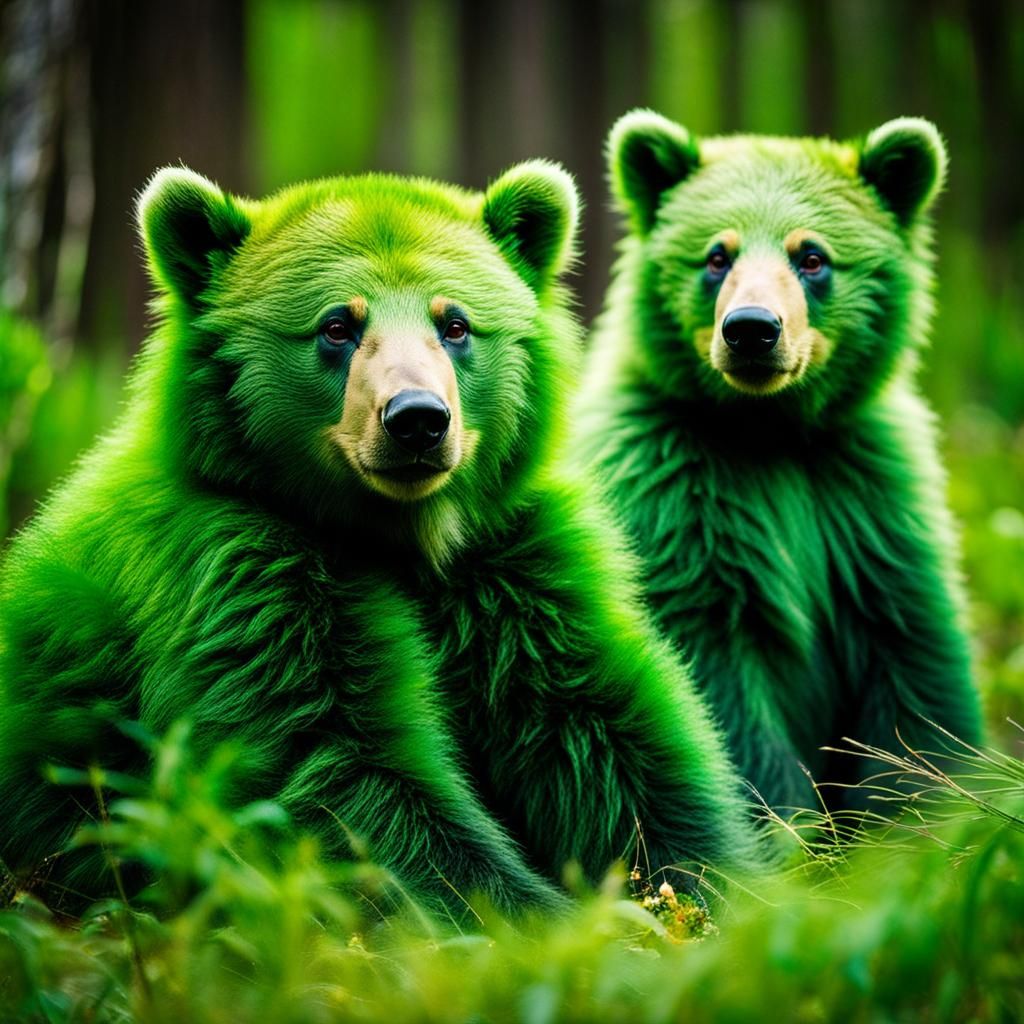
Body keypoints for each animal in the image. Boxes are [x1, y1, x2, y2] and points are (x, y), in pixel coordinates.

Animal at [0, 161, 757, 918]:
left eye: (455, 323)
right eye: (337, 324)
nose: (418, 418)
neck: (398, 534)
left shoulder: (509, 566)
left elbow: (604, 730)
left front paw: (710, 883)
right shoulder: (236, 574)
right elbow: (340, 767)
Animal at [572, 112, 984, 815]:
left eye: (811, 255)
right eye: (717, 255)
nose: (752, 329)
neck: (771, 429)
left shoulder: (863, 498)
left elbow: (915, 664)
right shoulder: (680, 499)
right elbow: (720, 690)